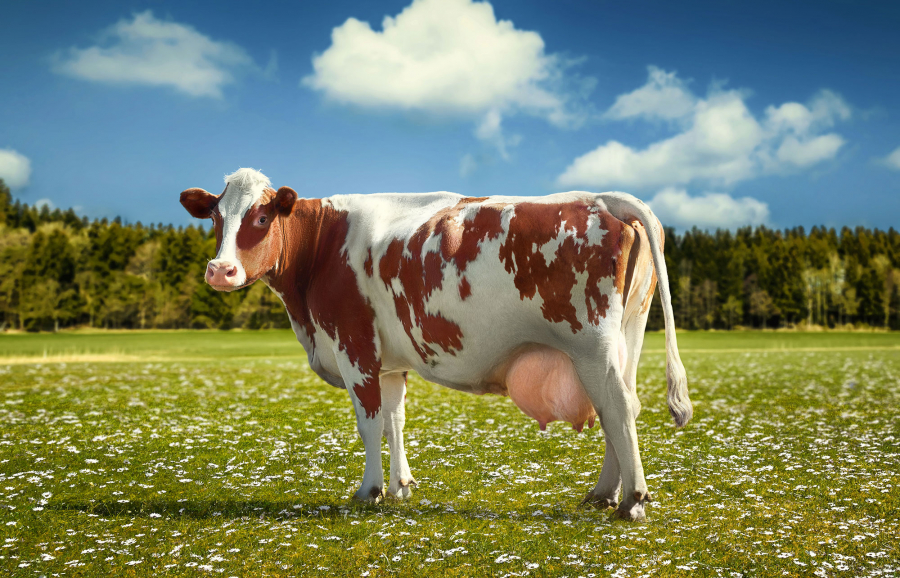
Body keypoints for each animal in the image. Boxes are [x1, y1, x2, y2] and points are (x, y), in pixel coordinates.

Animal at [180, 168, 692, 521]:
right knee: (621, 406)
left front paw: (368, 491)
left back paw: (631, 500)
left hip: (591, 344)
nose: (220, 270)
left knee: (617, 408)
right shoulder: (388, 363)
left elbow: (369, 424)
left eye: (262, 216)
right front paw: (400, 487)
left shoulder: (354, 345)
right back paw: (604, 493)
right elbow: (394, 420)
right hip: (626, 336)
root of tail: (602, 197)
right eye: (215, 217)